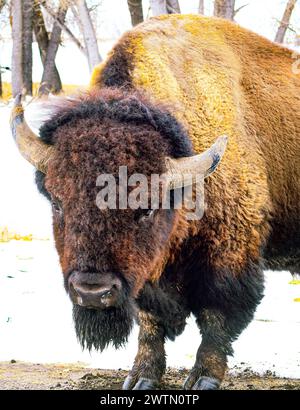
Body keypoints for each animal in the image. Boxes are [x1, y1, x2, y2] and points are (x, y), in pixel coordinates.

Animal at [9, 14, 300, 390]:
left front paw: (204, 378)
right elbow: (150, 323)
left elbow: (217, 319)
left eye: (146, 207)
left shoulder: (230, 256)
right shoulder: (146, 278)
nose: (92, 291)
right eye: (58, 202)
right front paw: (141, 378)